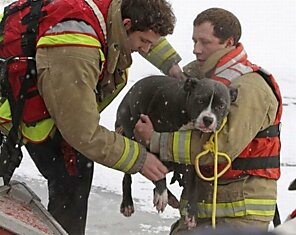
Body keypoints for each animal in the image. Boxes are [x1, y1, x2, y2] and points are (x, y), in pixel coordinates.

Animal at [114, 75, 237, 226]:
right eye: (200, 100)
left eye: (221, 105)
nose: (208, 119)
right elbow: (155, 170)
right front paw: (161, 195)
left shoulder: (190, 152)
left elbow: (193, 186)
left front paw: (192, 213)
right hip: (130, 132)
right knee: (130, 174)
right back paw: (128, 203)